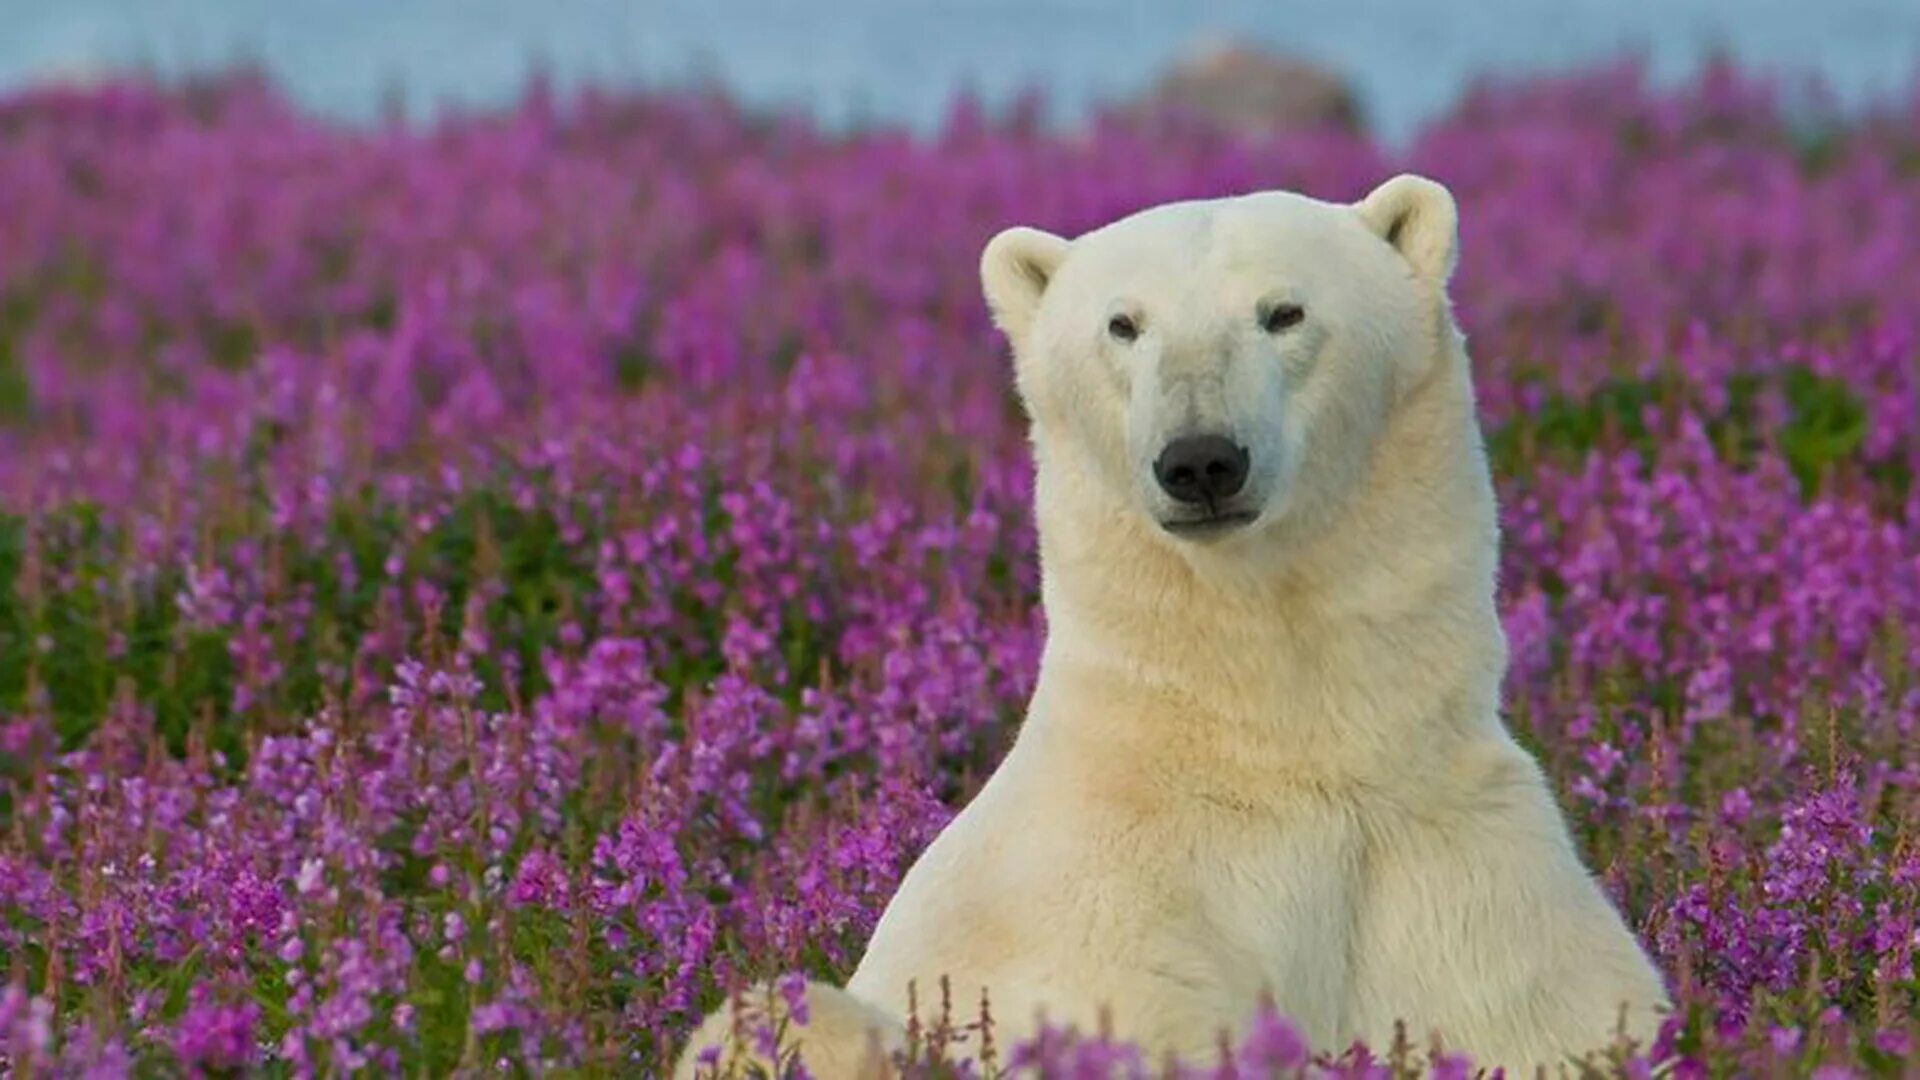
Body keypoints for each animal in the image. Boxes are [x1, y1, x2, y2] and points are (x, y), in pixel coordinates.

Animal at [683, 171, 1674, 1068]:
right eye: (1123, 325)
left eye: (1285, 312)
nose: (1201, 460)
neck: (1270, 749)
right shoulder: (1104, 931)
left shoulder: (1467, 886)